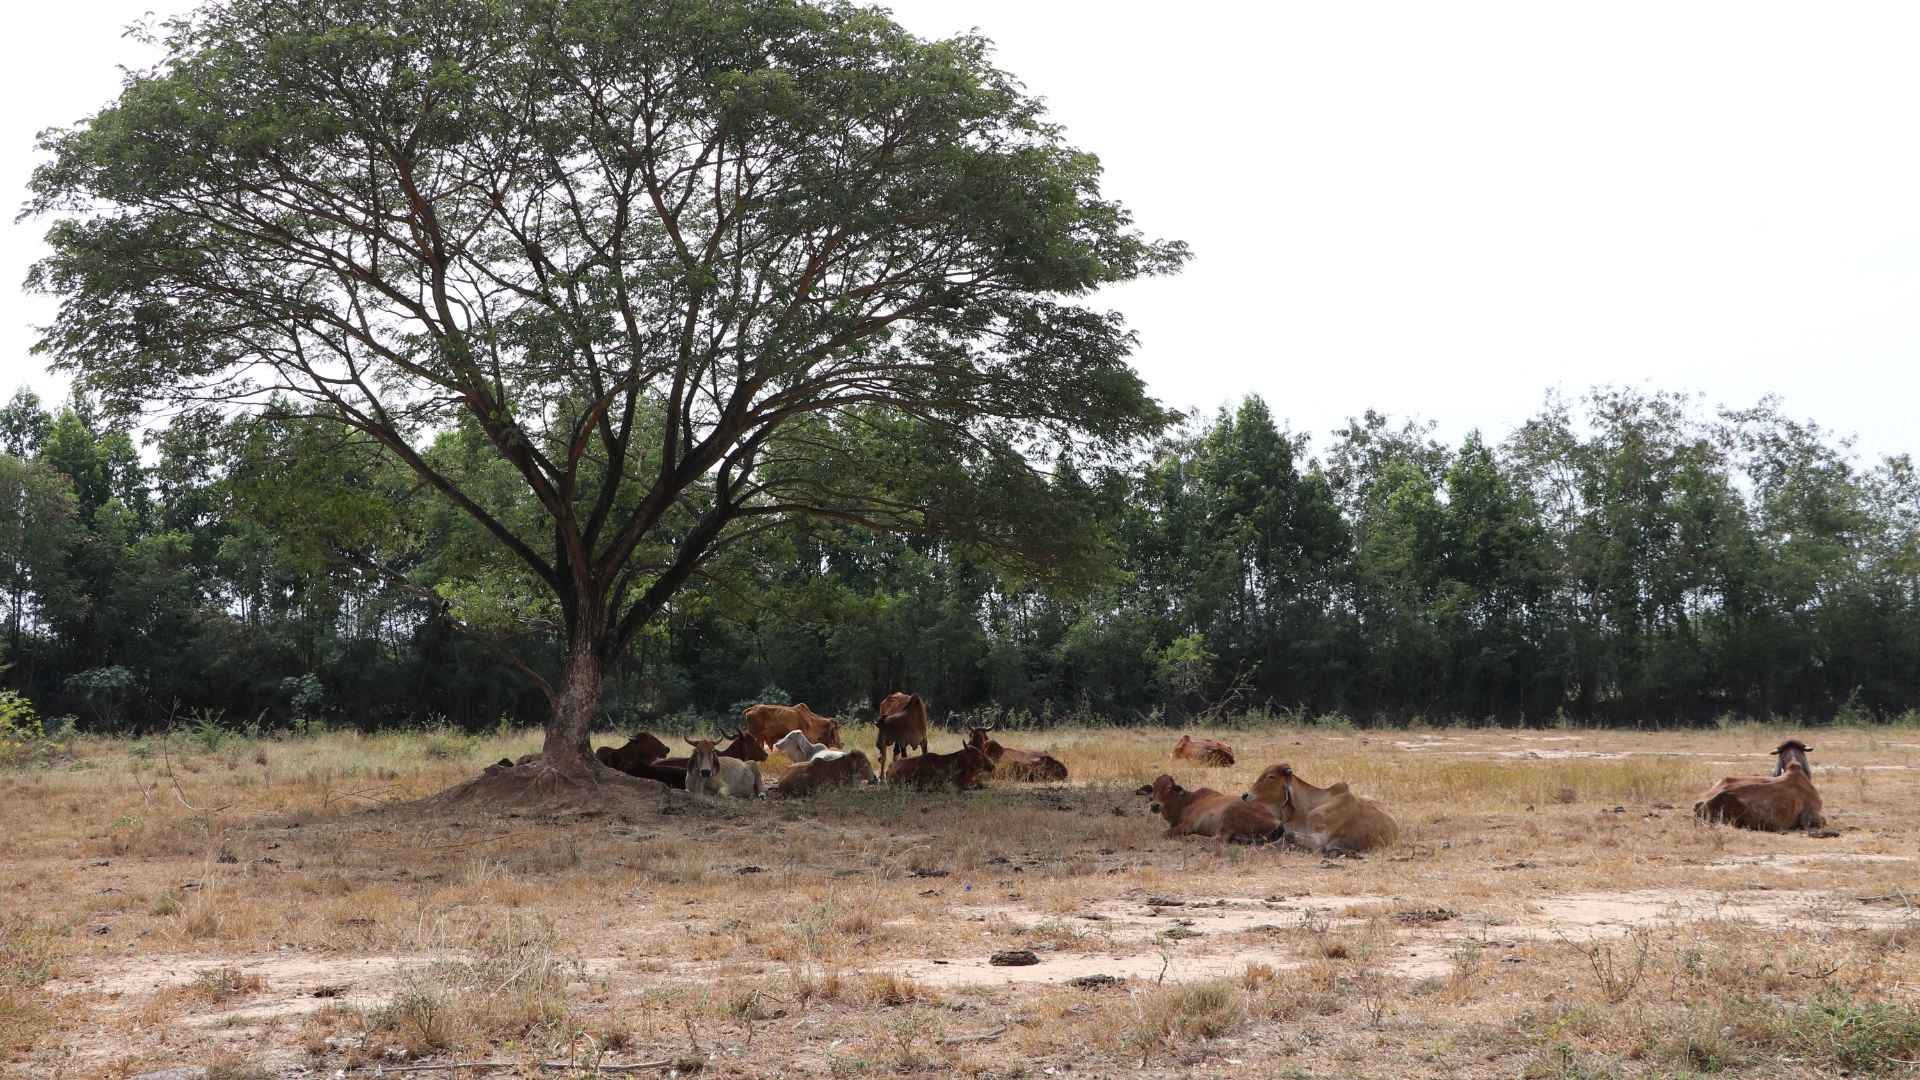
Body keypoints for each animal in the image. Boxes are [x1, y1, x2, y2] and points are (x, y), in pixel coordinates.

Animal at [1137, 774, 1281, 844]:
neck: (1187, 801)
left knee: (1218, 839)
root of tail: (1277, 821)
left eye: (1168, 788)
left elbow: (1164, 833)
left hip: (1229, 814)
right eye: (1153, 788)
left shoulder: (1187, 825)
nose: (1155, 805)